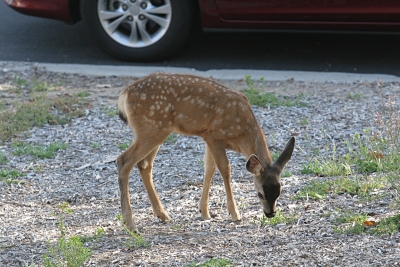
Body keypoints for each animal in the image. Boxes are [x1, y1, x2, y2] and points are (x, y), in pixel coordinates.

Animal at [115, 73, 294, 232]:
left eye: (279, 192)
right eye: (260, 194)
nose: (271, 213)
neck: (244, 131)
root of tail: (125, 94)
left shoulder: (208, 138)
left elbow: (209, 169)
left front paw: (204, 212)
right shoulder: (215, 137)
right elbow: (225, 170)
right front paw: (234, 214)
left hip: (157, 131)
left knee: (144, 164)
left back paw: (163, 215)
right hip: (152, 128)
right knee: (123, 160)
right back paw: (130, 224)